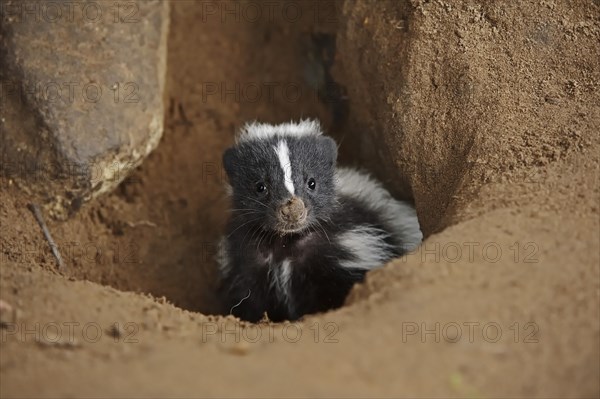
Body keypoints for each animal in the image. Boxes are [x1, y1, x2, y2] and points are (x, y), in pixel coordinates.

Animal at [217, 120, 422, 324]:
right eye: (260, 187)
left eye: (312, 183)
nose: (293, 211)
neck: (286, 243)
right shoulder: (246, 259)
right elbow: (251, 299)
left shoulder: (348, 246)